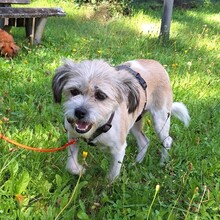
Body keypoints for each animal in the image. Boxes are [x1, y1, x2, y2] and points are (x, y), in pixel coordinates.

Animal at [51, 58, 189, 180]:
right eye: (74, 91)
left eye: (101, 95)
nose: (79, 112)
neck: (100, 125)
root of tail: (159, 65)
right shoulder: (73, 136)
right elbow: (70, 165)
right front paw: (79, 170)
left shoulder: (119, 149)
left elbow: (112, 176)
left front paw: (108, 187)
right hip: (135, 123)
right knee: (144, 141)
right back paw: (136, 163)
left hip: (160, 120)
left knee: (167, 141)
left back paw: (162, 162)